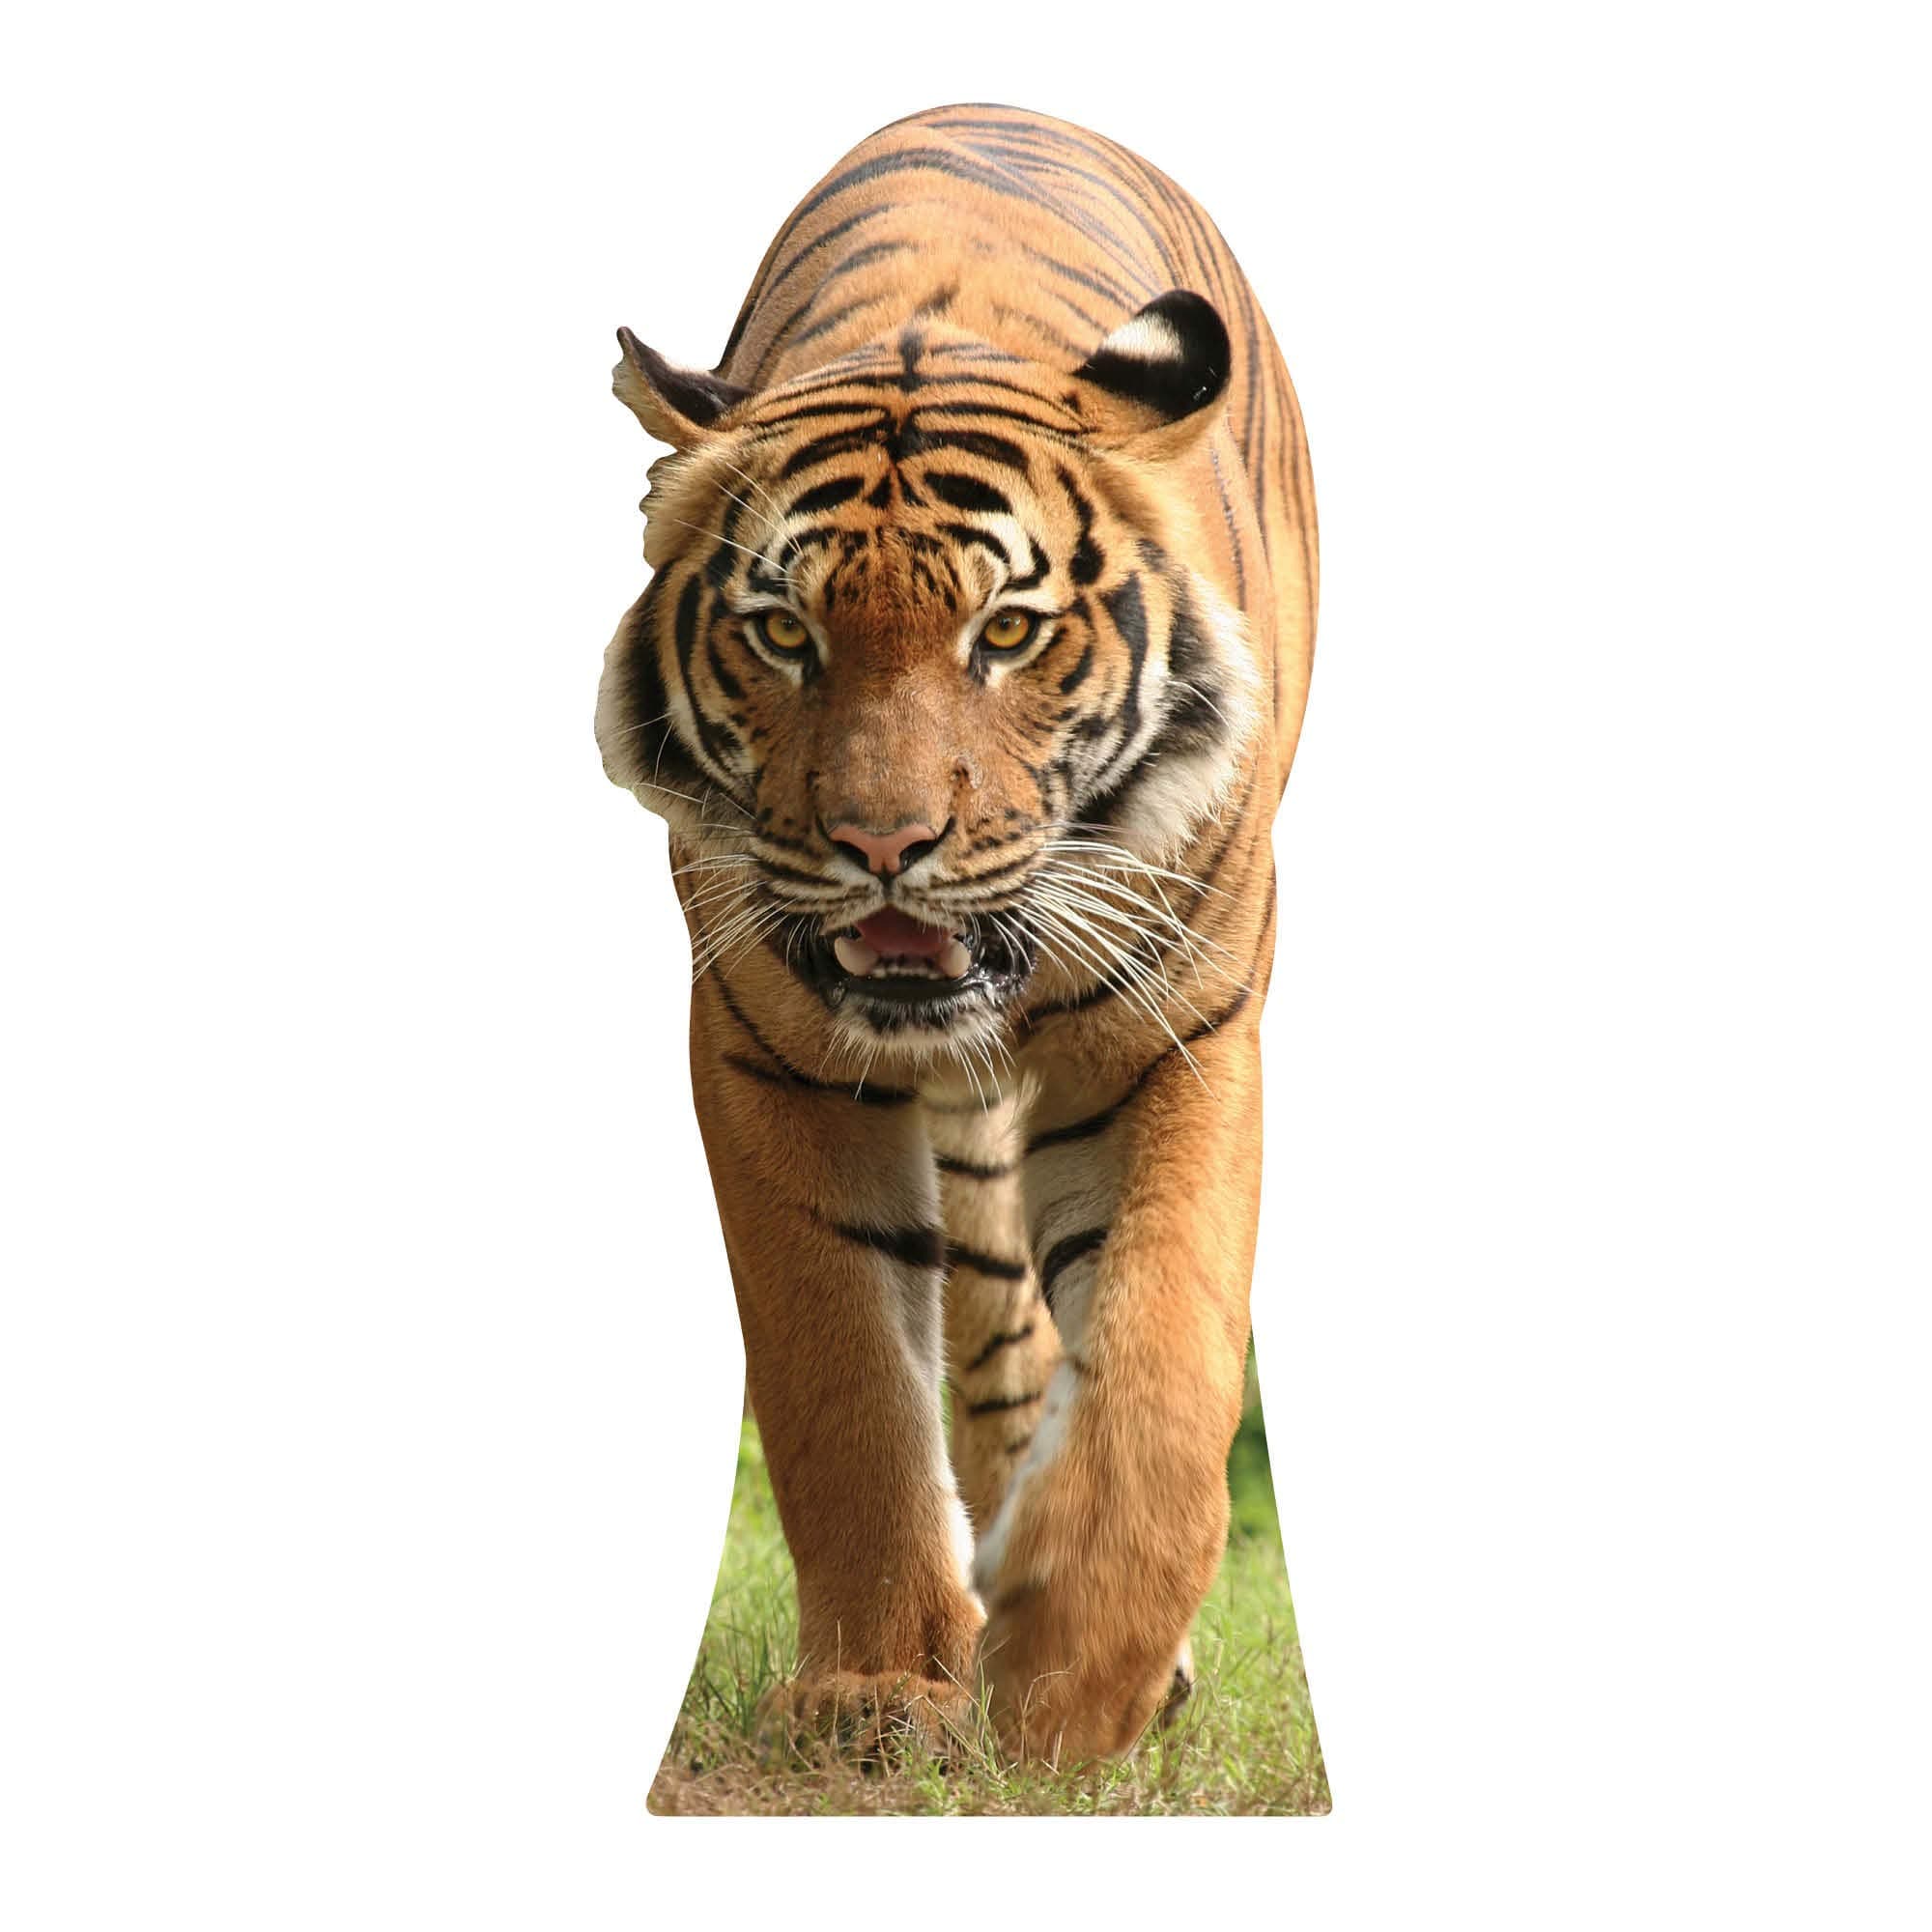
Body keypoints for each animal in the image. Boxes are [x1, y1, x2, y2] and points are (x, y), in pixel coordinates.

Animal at [597, 102, 1316, 1764]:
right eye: (782, 631)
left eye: (1008, 632)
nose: (882, 849)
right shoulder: (762, 1050)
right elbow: (841, 1381)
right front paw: (880, 1683)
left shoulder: (1187, 1031)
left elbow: (1167, 1349)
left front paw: (1084, 1676)